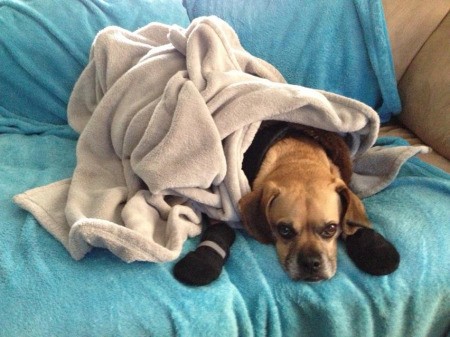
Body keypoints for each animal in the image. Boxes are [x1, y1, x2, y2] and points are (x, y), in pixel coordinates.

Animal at [174, 121, 400, 284]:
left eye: (331, 228)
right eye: (284, 230)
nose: (311, 264)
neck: (298, 159)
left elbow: (353, 220)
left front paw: (373, 246)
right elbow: (220, 227)